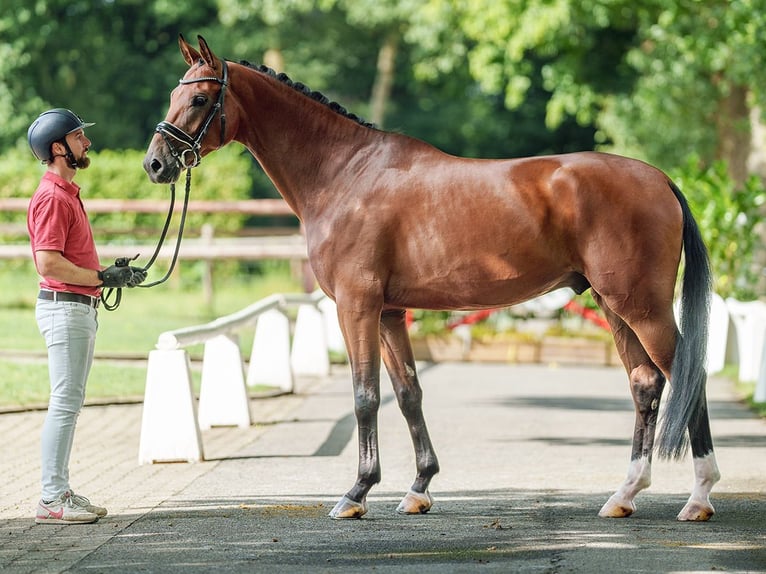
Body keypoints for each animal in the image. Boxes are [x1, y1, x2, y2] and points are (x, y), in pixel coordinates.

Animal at [142, 35, 720, 520]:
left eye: (199, 99)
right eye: (172, 93)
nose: (155, 163)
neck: (345, 173)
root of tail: (660, 179)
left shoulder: (356, 305)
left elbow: (365, 395)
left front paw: (356, 494)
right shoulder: (390, 312)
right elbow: (408, 394)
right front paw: (419, 488)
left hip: (640, 305)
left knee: (686, 374)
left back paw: (698, 498)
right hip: (611, 302)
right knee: (645, 384)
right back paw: (624, 495)